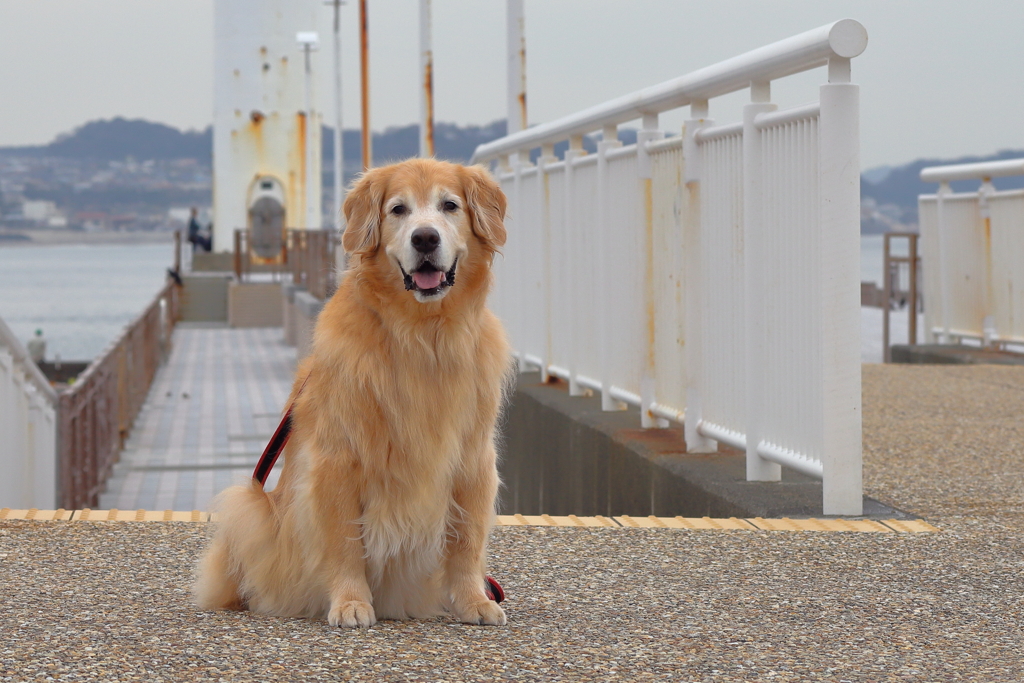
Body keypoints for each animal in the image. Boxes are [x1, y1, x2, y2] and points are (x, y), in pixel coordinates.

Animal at [192, 157, 512, 626]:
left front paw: (474, 600)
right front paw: (350, 602)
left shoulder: (473, 460)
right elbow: (345, 542)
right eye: (398, 209)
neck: (421, 337)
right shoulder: (337, 460)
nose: (425, 237)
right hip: (250, 507)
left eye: (449, 205)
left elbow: (467, 540)